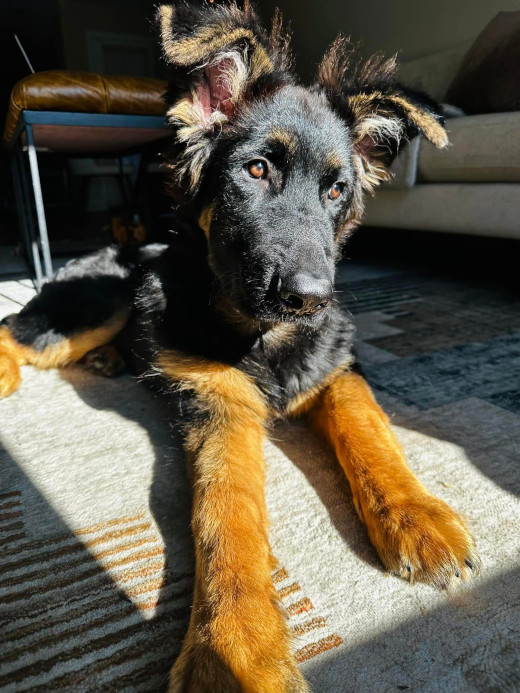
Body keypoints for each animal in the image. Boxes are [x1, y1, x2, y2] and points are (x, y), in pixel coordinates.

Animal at [0, 2, 480, 688]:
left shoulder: (337, 367)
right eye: (256, 170)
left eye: (337, 191)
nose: (311, 298)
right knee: (17, 330)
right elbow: (225, 513)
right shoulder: (217, 403)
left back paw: (114, 358)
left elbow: (370, 427)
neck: (261, 332)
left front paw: (416, 514)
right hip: (100, 299)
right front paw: (233, 652)